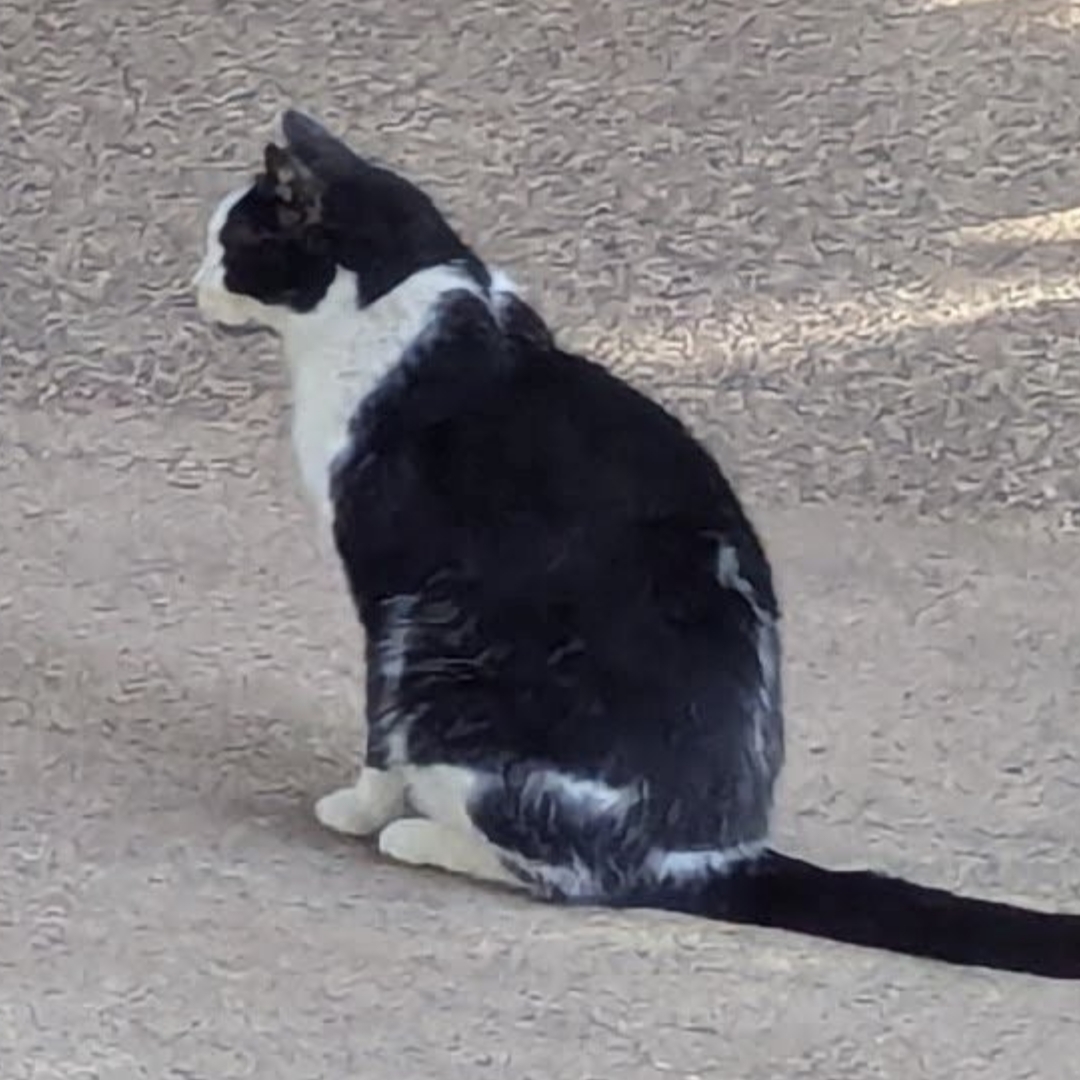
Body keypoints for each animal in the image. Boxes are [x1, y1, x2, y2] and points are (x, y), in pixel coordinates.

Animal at [193, 108, 1080, 979]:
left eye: (230, 245)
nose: (192, 283)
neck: (399, 303)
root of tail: (711, 858)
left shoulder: (391, 588)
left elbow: (379, 727)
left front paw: (358, 807)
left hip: (449, 686)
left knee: (572, 877)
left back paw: (421, 835)